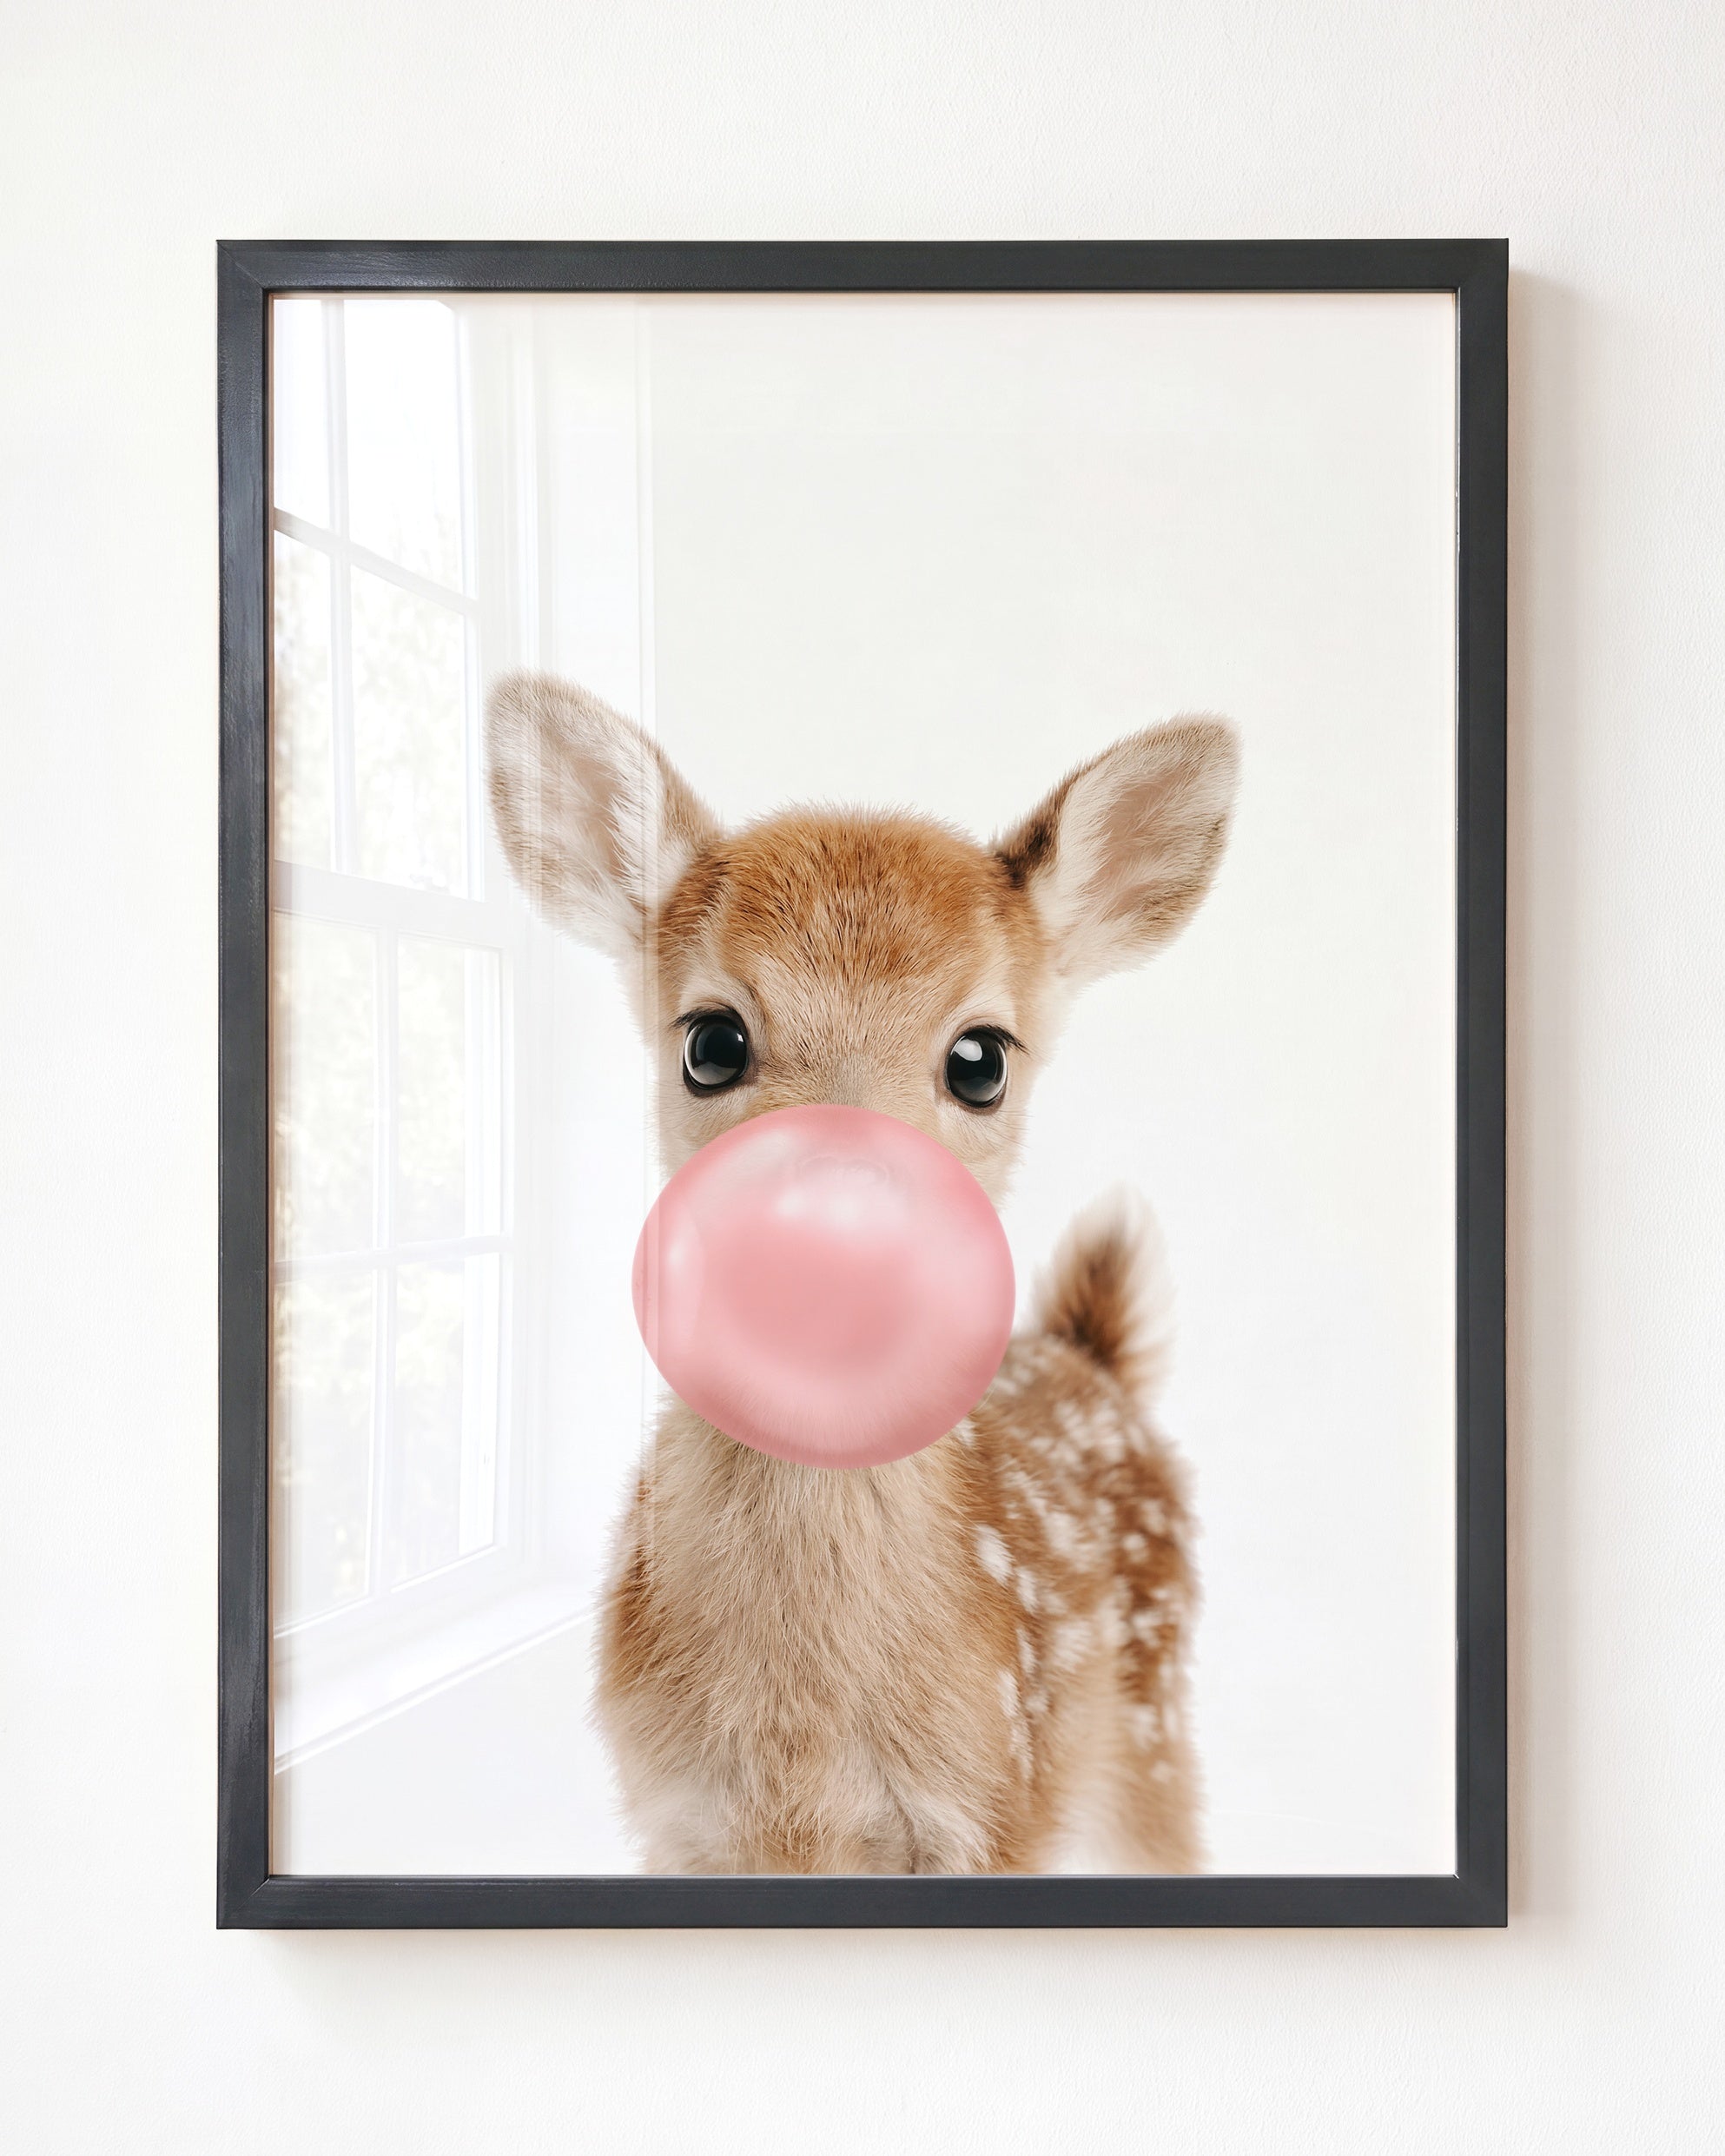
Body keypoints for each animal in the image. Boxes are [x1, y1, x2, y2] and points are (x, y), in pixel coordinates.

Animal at [486, 671, 1239, 1875]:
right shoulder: (679, 1821)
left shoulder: (994, 1807)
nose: (838, 1225)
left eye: (981, 1059)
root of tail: (1094, 1358)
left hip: (1150, 1732)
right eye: (710, 1042)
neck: (801, 1749)